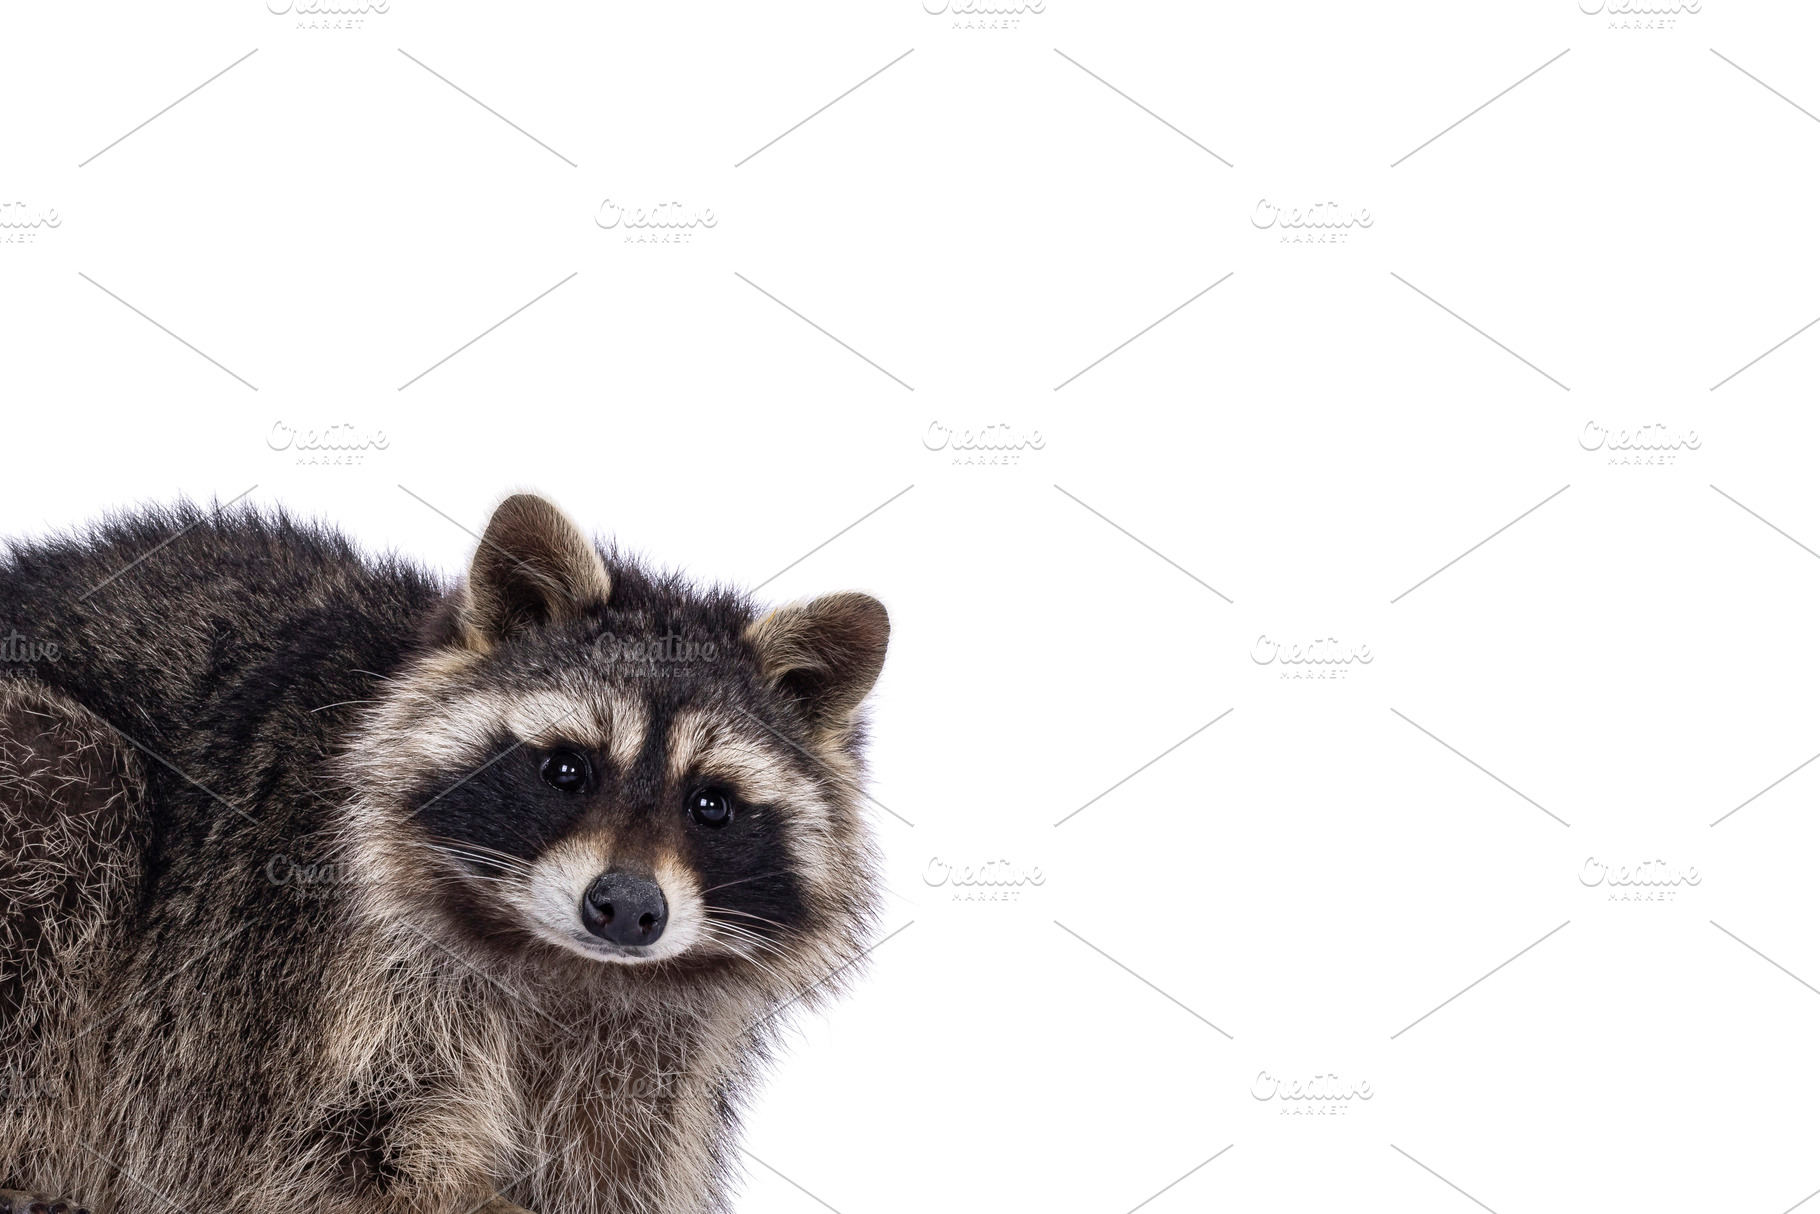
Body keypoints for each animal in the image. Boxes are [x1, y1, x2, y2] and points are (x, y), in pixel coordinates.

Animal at [0, 494, 890, 1214]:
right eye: (566, 769)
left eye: (711, 804)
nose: (629, 907)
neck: (564, 968)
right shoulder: (299, 979)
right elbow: (330, 1153)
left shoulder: (649, 1059)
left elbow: (610, 1166)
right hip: (44, 784)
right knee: (77, 785)